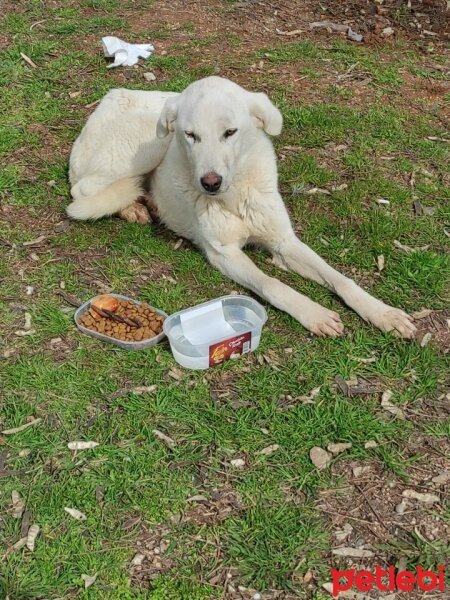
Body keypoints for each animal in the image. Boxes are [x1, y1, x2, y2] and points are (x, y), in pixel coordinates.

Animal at [68, 75, 416, 338]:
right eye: (191, 135)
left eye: (230, 132)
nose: (209, 182)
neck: (235, 194)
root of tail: (112, 95)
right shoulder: (224, 254)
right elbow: (272, 284)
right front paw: (314, 313)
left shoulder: (284, 242)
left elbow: (340, 279)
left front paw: (383, 313)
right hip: (152, 144)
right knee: (84, 190)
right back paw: (134, 206)